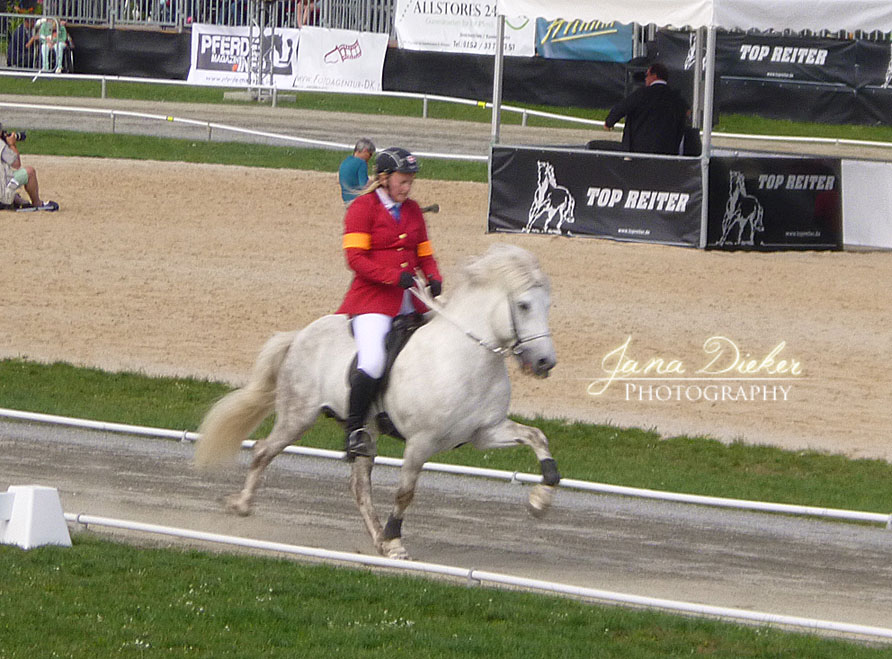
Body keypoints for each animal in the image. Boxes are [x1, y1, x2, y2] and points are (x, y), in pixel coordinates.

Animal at [195, 245, 556, 560]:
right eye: (524, 305)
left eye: (548, 305)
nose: (544, 363)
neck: (467, 357)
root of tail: (300, 335)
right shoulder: (421, 441)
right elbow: (406, 492)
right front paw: (396, 541)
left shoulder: (486, 432)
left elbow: (537, 437)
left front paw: (540, 501)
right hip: (298, 416)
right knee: (263, 450)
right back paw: (242, 505)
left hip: (364, 430)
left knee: (359, 486)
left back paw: (377, 538)